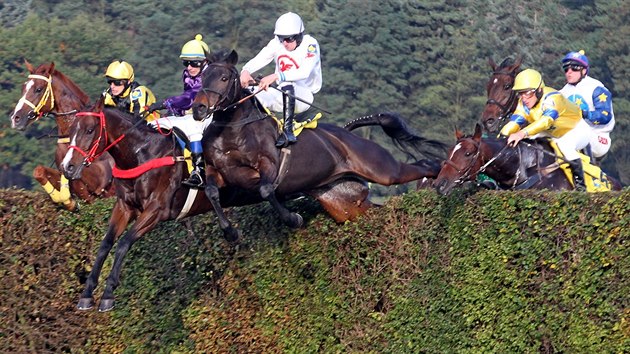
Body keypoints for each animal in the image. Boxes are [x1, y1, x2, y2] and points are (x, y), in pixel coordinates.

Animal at [8, 60, 115, 210]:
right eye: (23, 88)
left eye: (39, 89)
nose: (16, 118)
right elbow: (39, 171)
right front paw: (67, 201)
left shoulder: (100, 183)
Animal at [61, 99, 262, 310]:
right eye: (70, 130)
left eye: (90, 130)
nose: (67, 167)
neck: (141, 154)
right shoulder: (124, 208)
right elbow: (105, 244)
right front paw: (87, 293)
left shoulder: (157, 210)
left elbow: (124, 243)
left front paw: (108, 293)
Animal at [190, 47, 446, 235]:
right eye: (203, 77)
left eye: (224, 78)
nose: (199, 109)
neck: (232, 131)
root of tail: (346, 133)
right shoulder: (216, 171)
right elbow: (211, 192)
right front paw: (230, 233)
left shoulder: (268, 167)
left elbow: (265, 189)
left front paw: (293, 219)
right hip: (344, 202)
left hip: (382, 168)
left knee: (425, 165)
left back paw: (444, 182)